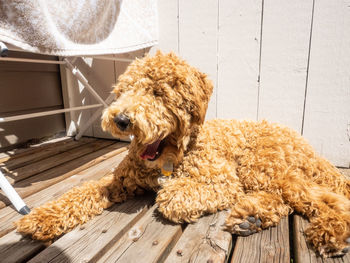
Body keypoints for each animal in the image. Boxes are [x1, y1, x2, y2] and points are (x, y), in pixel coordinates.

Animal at [15, 51, 350, 258]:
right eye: (124, 90)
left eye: (158, 92)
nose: (121, 120)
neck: (169, 156)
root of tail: (305, 144)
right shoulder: (118, 182)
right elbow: (79, 194)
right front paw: (42, 218)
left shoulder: (222, 181)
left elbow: (169, 197)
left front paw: (169, 194)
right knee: (284, 199)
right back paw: (250, 217)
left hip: (260, 166)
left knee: (320, 197)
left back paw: (333, 232)